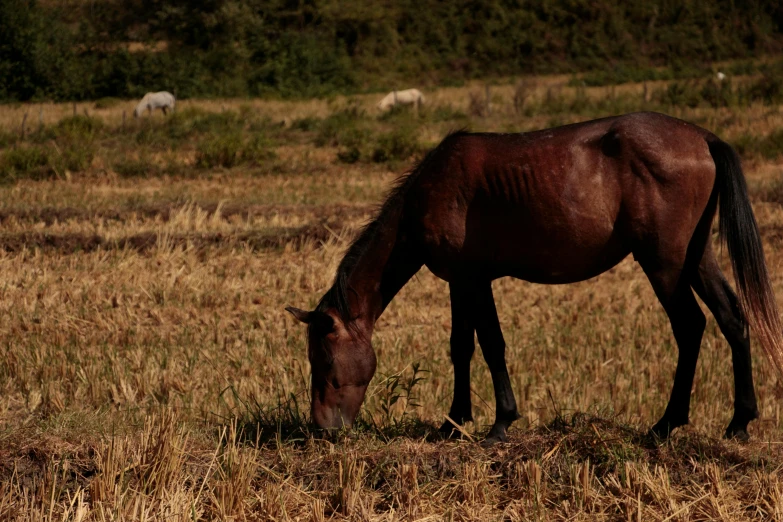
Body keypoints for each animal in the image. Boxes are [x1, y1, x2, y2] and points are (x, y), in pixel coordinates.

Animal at [288, 110, 783, 442]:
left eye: (323, 360)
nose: (323, 428)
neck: (430, 193)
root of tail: (704, 138)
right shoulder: (463, 281)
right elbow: (463, 346)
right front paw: (456, 421)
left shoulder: (473, 279)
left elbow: (488, 344)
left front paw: (497, 422)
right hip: (695, 257)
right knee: (732, 318)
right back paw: (739, 422)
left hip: (664, 262)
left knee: (690, 326)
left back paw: (666, 423)